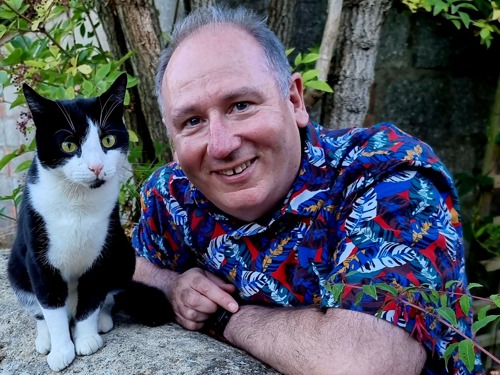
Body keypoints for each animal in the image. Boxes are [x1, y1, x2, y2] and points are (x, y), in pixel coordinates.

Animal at [8, 75, 137, 372]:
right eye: (68, 145)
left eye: (108, 139)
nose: (96, 167)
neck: (77, 201)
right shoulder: (38, 258)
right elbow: (50, 306)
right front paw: (61, 350)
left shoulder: (104, 251)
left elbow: (91, 299)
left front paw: (86, 338)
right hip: (15, 267)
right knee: (37, 308)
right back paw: (45, 338)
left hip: (125, 254)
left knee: (107, 297)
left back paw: (102, 321)